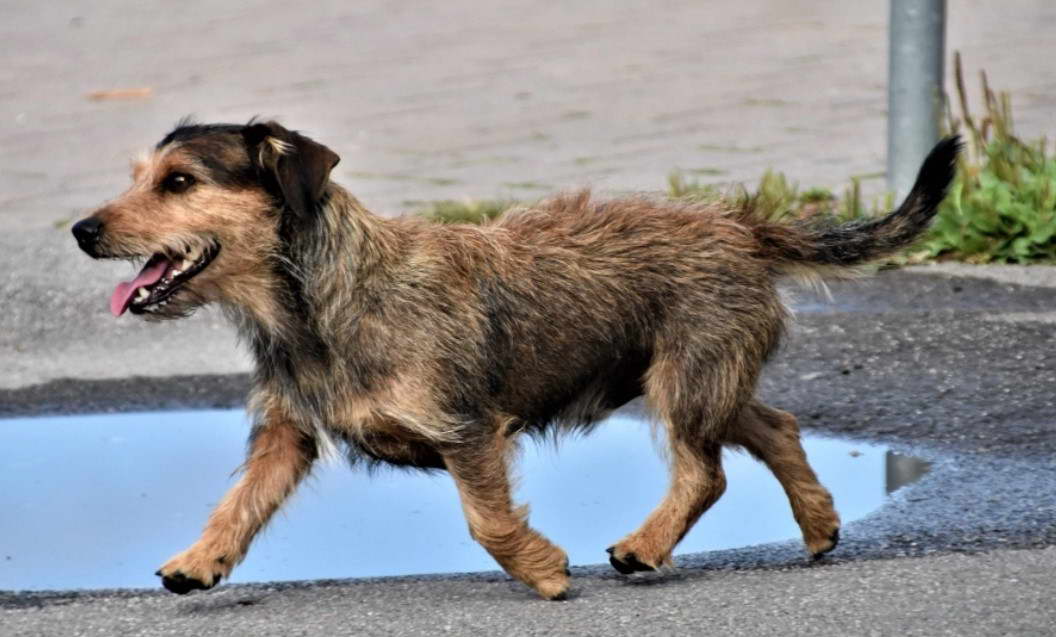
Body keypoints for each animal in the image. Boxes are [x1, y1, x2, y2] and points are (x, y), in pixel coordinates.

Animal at [72, 118, 967, 600]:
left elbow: (488, 519)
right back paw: (816, 524)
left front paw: (543, 572)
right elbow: (240, 502)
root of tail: (742, 225)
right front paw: (201, 560)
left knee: (705, 471)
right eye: (143, 177)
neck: (322, 299)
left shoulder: (467, 429)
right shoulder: (287, 433)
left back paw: (646, 546)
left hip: (685, 382)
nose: (82, 229)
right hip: (699, 378)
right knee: (774, 425)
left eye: (179, 182)